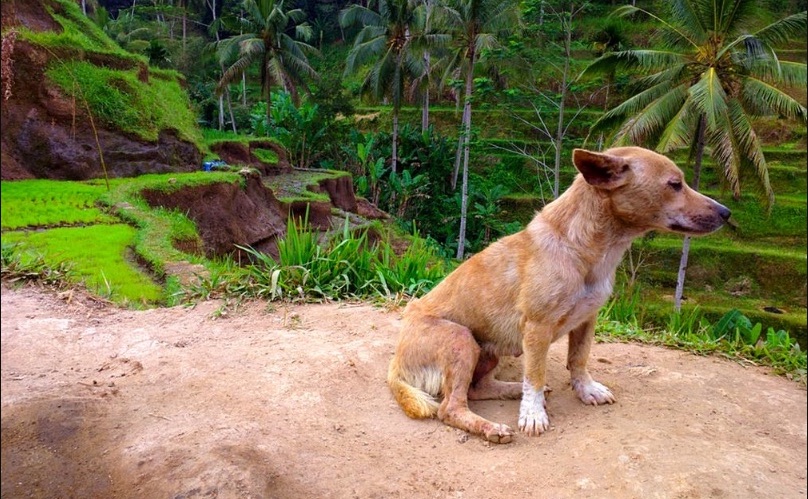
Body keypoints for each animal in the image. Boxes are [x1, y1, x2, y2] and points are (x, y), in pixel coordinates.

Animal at [388, 146, 728, 444]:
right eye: (675, 184)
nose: (726, 212)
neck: (582, 250)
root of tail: (396, 365)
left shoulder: (587, 320)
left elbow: (578, 360)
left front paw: (586, 390)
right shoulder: (537, 329)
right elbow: (535, 375)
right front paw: (532, 414)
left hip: (489, 350)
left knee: (477, 388)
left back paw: (511, 390)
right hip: (461, 339)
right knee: (450, 407)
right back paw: (492, 427)